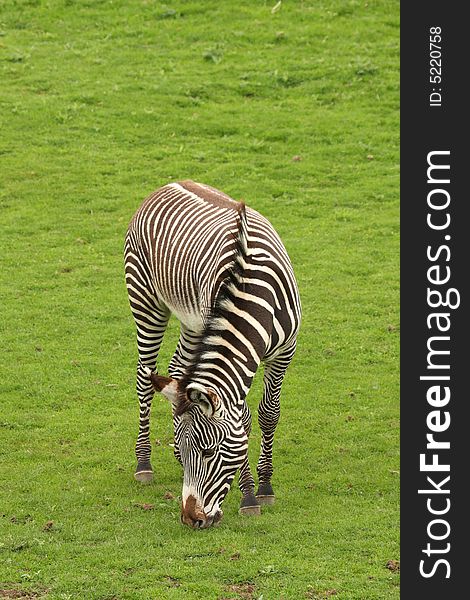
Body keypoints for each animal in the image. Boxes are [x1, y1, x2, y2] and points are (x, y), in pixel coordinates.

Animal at [125, 180, 302, 528]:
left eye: (208, 452)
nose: (190, 519)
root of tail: (166, 185)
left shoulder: (284, 352)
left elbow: (269, 413)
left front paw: (265, 486)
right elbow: (244, 419)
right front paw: (248, 496)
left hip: (192, 321)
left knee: (177, 369)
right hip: (146, 302)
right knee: (143, 377)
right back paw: (143, 463)